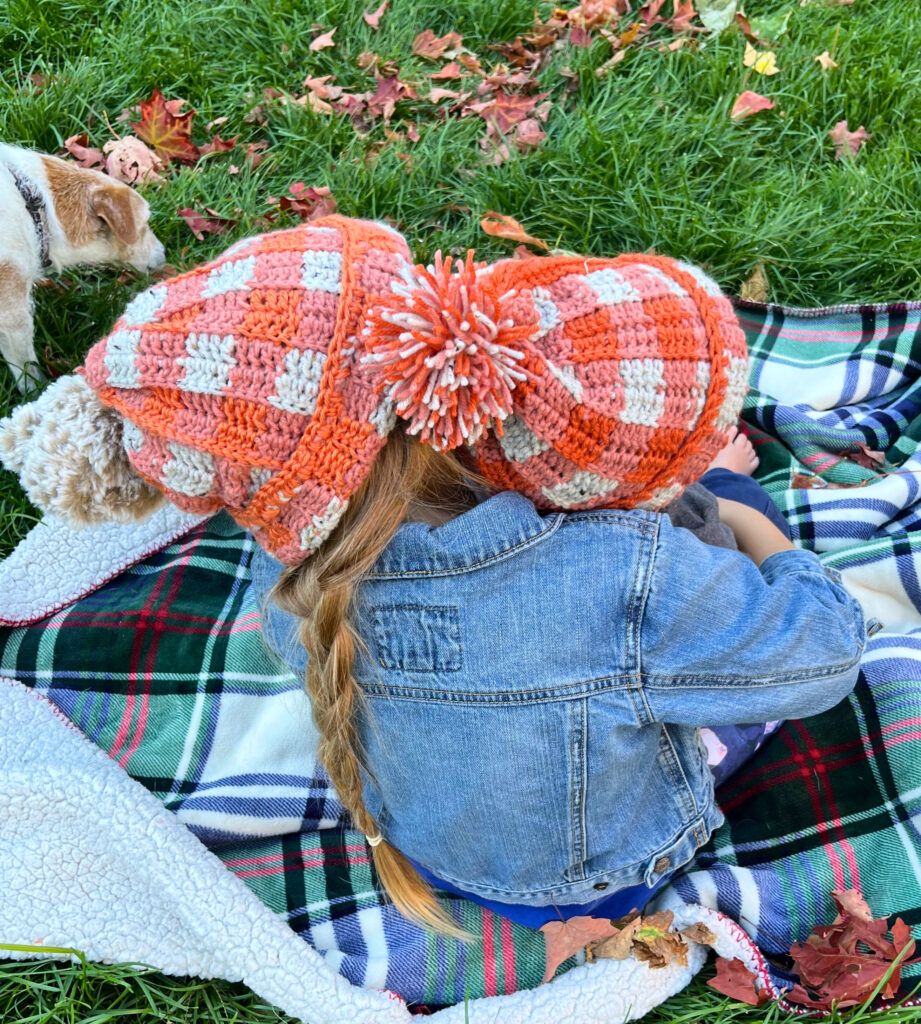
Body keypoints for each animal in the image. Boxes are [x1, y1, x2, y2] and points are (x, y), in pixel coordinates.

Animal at [0, 140, 165, 387]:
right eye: (144, 225)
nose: (164, 254)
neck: (36, 209)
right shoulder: (13, 315)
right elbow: (25, 368)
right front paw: (38, 387)